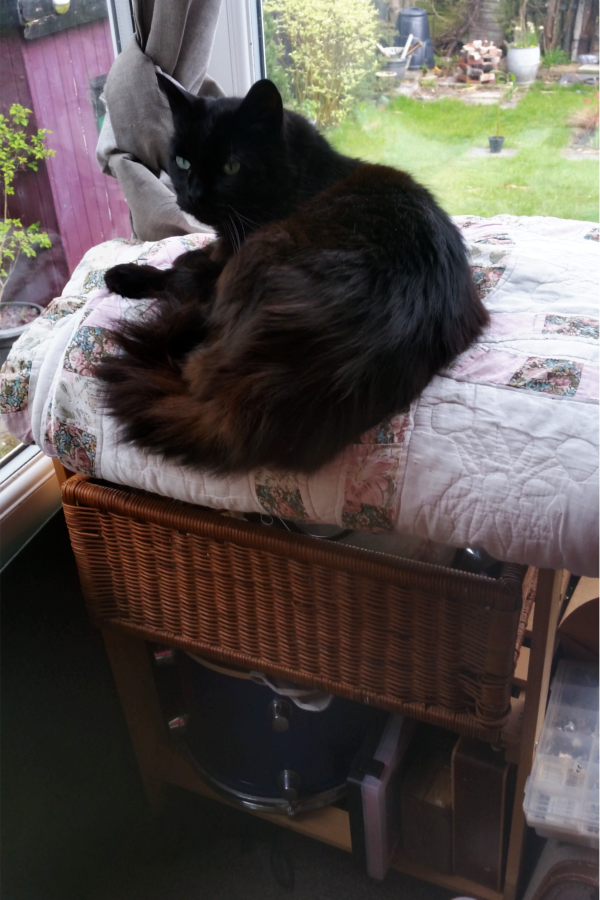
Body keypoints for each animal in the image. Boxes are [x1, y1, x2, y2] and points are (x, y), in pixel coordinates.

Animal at [101, 78, 488, 474]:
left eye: (231, 167)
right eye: (182, 162)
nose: (192, 196)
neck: (300, 180)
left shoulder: (226, 261)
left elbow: (177, 273)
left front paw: (127, 273)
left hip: (256, 257)